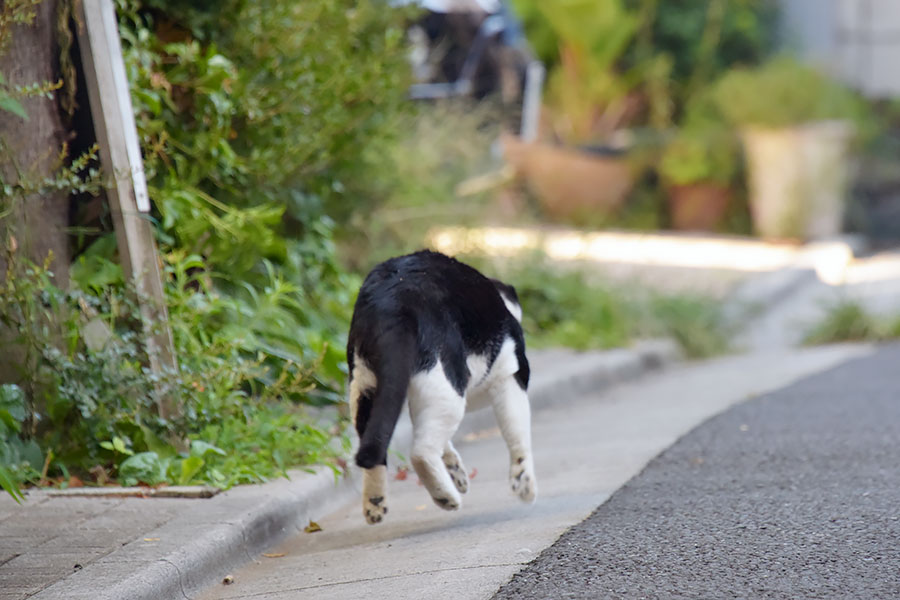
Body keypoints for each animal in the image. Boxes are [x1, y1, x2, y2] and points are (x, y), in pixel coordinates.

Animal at [346, 251, 536, 524]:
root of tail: (392, 301)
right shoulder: (510, 376)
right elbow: (517, 432)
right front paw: (525, 486)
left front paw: (455, 469)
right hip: (447, 386)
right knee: (421, 452)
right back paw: (446, 497)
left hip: (366, 388)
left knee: (375, 443)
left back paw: (375, 503)